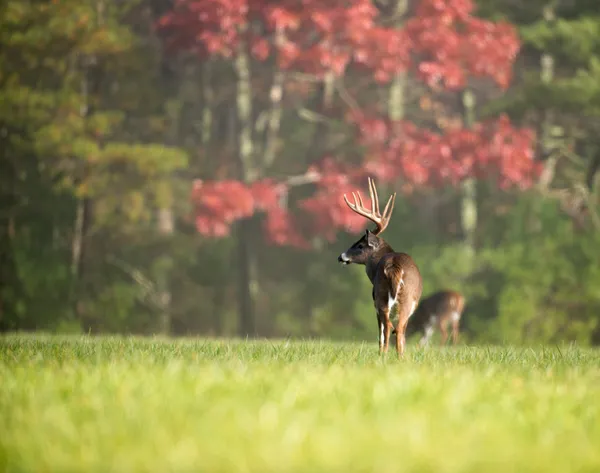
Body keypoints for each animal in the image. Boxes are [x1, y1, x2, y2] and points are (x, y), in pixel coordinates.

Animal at [338, 179, 422, 356]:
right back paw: (398, 357)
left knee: (390, 327)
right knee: (397, 328)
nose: (340, 256)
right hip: (402, 299)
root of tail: (394, 266)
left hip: (381, 297)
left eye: (360, 245)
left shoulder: (374, 301)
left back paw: (385, 355)